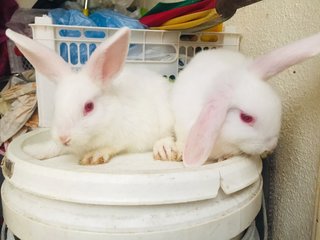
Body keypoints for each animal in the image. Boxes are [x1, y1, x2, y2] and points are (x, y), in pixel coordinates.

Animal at [5, 27, 175, 164]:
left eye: (89, 107)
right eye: (55, 106)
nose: (63, 138)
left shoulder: (124, 136)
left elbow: (111, 147)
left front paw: (94, 156)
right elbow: (53, 147)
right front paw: (32, 151)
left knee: (167, 135)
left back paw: (163, 148)